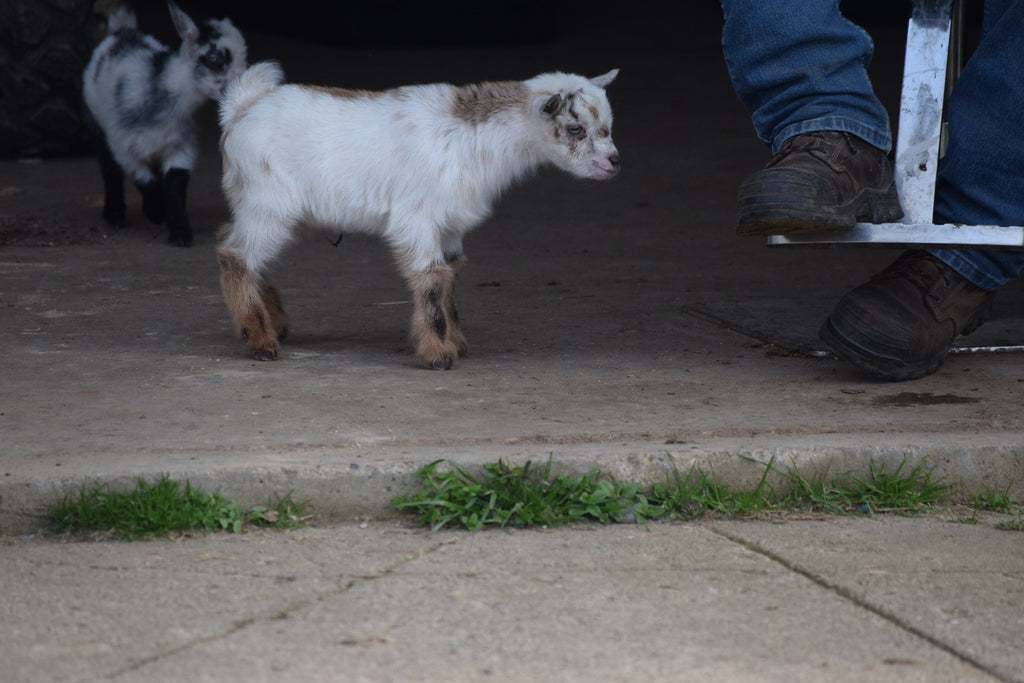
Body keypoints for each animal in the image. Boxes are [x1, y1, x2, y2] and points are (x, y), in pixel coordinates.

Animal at [82, 2, 247, 246]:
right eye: (214, 58)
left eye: (244, 57)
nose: (242, 85)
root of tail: (123, 30)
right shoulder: (122, 143)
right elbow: (143, 178)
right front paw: (156, 211)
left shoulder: (181, 144)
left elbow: (175, 183)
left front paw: (179, 232)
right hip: (98, 122)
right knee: (109, 167)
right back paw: (115, 214)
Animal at [217, 61, 619, 369]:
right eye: (575, 128)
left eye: (608, 126)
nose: (613, 162)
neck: (475, 139)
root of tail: (242, 107)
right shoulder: (417, 219)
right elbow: (429, 278)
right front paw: (438, 353)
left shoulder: (450, 225)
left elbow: (450, 275)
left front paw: (455, 340)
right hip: (269, 202)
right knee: (235, 255)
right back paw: (260, 340)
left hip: (277, 211)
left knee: (242, 248)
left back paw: (272, 324)